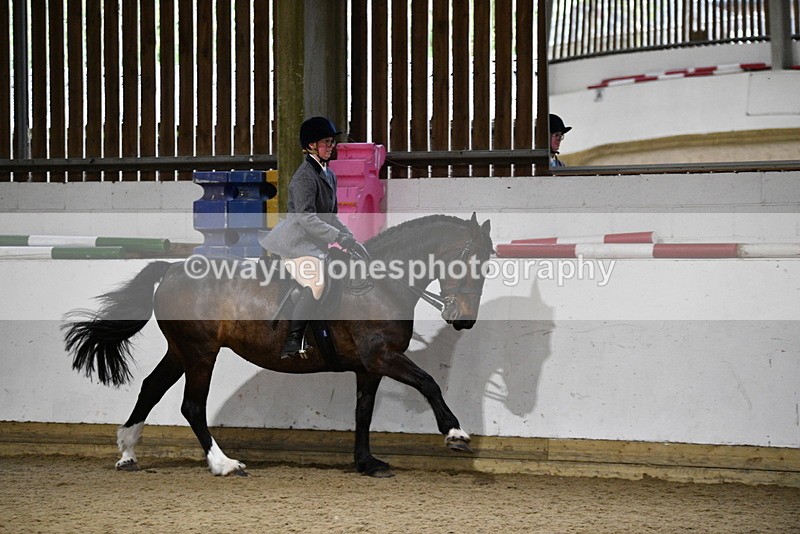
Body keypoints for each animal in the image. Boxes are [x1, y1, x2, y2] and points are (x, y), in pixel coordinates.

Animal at [63, 213, 494, 478]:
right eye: (467, 260)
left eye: (488, 263)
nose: (464, 319)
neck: (382, 283)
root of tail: (171, 269)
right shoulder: (382, 357)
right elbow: (428, 383)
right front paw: (455, 434)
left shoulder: (368, 367)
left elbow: (363, 413)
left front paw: (367, 462)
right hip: (201, 352)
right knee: (192, 406)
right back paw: (224, 464)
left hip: (181, 350)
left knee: (151, 388)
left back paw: (127, 453)